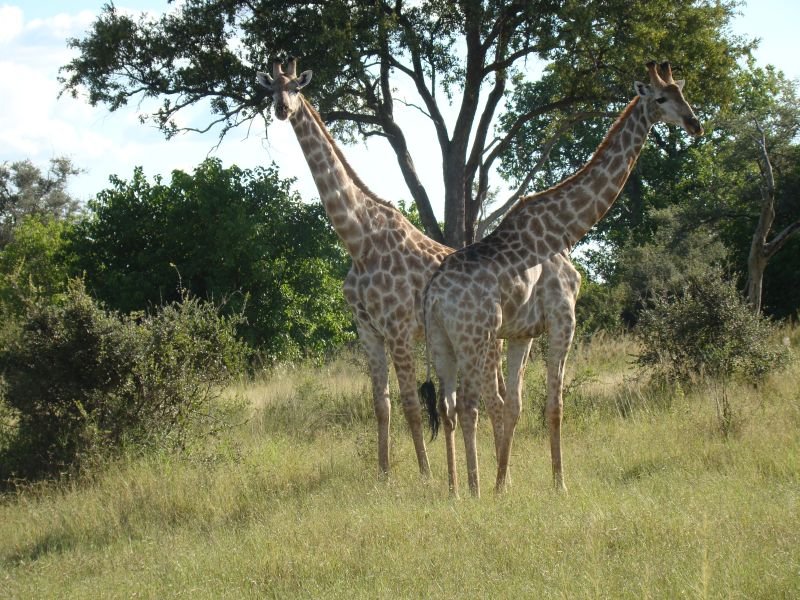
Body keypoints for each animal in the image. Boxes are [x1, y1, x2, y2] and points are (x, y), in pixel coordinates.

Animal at [256, 57, 456, 478]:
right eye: (270, 89)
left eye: (296, 87)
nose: (282, 108)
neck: (358, 241)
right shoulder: (367, 330)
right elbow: (382, 404)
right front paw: (384, 475)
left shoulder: (397, 330)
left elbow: (411, 404)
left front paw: (425, 475)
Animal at [422, 61, 704, 496]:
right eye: (660, 99)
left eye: (684, 94)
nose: (694, 124)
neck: (567, 230)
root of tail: (434, 295)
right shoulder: (563, 317)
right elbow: (554, 405)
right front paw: (558, 484)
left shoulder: (521, 333)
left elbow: (517, 405)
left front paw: (504, 484)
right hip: (477, 336)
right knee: (473, 404)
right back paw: (473, 489)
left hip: (441, 340)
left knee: (449, 407)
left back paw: (455, 490)